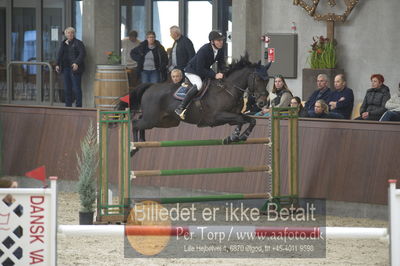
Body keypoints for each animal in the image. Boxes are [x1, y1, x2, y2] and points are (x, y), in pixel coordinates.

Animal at [115, 55, 272, 154]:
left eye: (267, 80)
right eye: (258, 79)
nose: (263, 102)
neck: (229, 89)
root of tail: (151, 86)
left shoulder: (232, 116)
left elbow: (250, 120)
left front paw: (242, 136)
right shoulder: (216, 117)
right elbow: (240, 119)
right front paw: (234, 136)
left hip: (165, 121)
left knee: (140, 123)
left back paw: (141, 142)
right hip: (152, 119)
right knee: (136, 123)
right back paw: (134, 147)